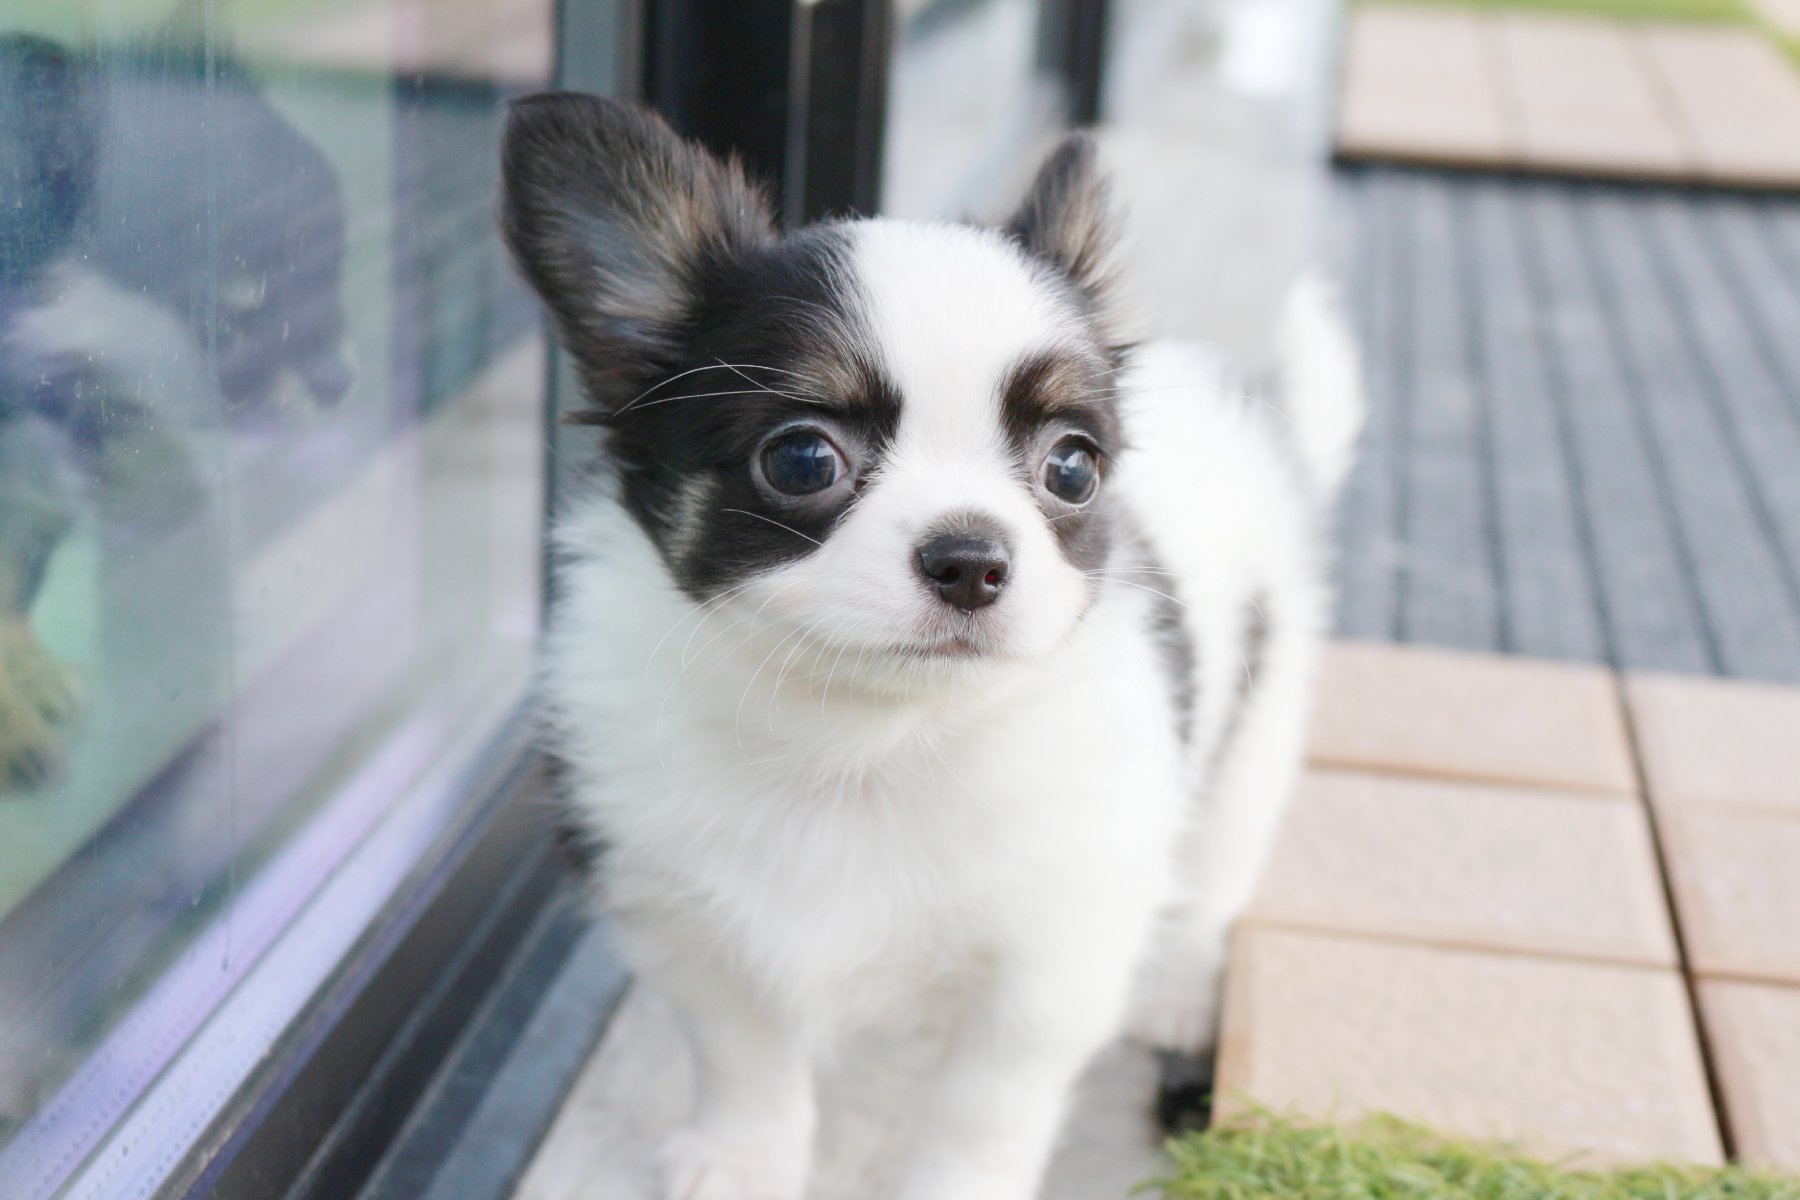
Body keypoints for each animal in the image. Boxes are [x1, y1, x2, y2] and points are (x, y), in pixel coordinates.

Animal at [500, 93, 1361, 1200]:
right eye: (802, 459)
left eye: (1073, 469)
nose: (972, 559)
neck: (862, 744)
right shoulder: (687, 923)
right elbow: (744, 1053)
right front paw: (742, 1158)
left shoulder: (1044, 977)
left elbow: (978, 1118)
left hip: (1258, 719)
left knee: (1217, 870)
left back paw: (1179, 991)